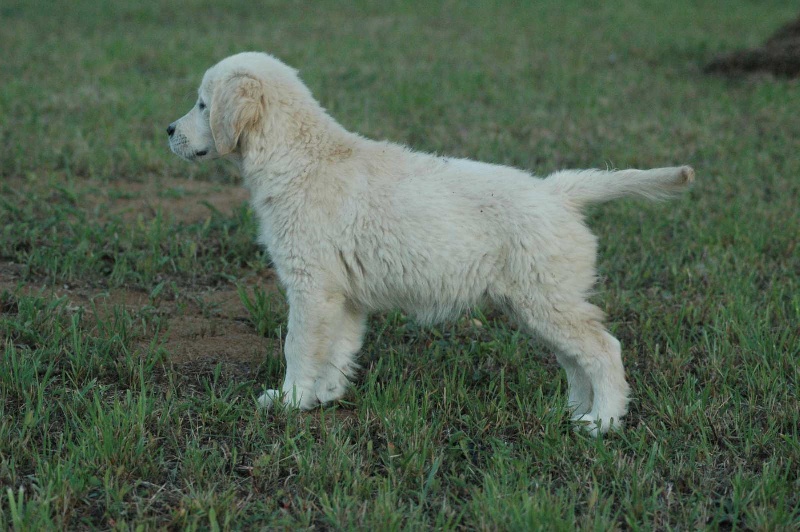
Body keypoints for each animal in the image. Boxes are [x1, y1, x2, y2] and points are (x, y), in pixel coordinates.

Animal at [170, 52, 692, 434]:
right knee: (574, 359)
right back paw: (573, 412)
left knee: (604, 350)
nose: (168, 131)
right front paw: (325, 396)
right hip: (540, 303)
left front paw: (289, 400)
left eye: (202, 104)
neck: (298, 155)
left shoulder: (311, 286)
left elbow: (298, 346)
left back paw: (603, 421)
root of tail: (558, 191)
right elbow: (337, 349)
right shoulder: (344, 295)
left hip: (547, 300)